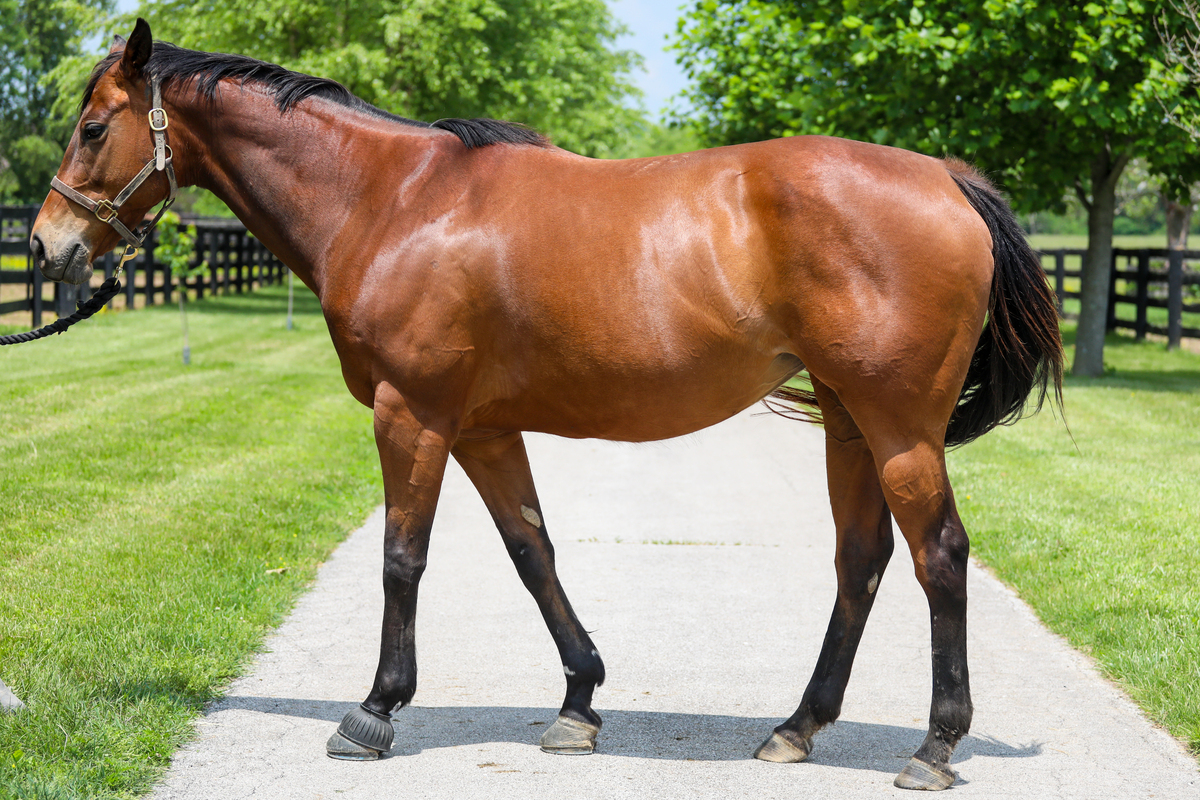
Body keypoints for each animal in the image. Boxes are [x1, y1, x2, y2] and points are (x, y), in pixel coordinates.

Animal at [32, 20, 1063, 790]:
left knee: (939, 558)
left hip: (900, 428)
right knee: (863, 559)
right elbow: (533, 553)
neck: (392, 200)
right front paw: (578, 703)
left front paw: (373, 712)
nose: (46, 248)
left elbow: (403, 557)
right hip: (849, 420)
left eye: (93, 128)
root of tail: (946, 178)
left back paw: (933, 747)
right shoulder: (485, 428)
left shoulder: (412, 415)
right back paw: (797, 727)